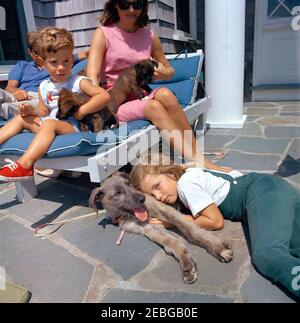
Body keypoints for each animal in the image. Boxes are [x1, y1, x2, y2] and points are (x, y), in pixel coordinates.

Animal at [89, 173, 234, 284]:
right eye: (118, 193)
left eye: (128, 184)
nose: (142, 198)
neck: (127, 215)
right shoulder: (147, 228)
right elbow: (171, 241)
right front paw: (187, 263)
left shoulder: (165, 210)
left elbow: (191, 229)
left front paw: (218, 247)